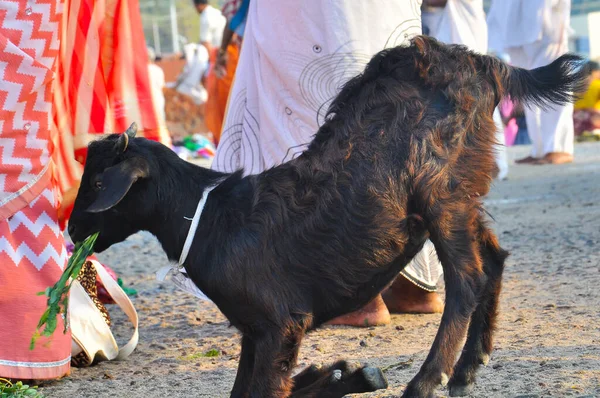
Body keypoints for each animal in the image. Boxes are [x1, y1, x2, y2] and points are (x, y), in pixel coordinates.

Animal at [68, 37, 584, 398]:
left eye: (95, 184)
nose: (72, 230)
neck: (210, 216)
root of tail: (483, 64)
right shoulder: (255, 332)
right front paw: (341, 374)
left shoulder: (278, 325)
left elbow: (260, 390)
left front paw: (343, 375)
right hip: (465, 191)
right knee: (494, 260)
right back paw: (467, 368)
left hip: (440, 192)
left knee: (468, 278)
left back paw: (426, 380)